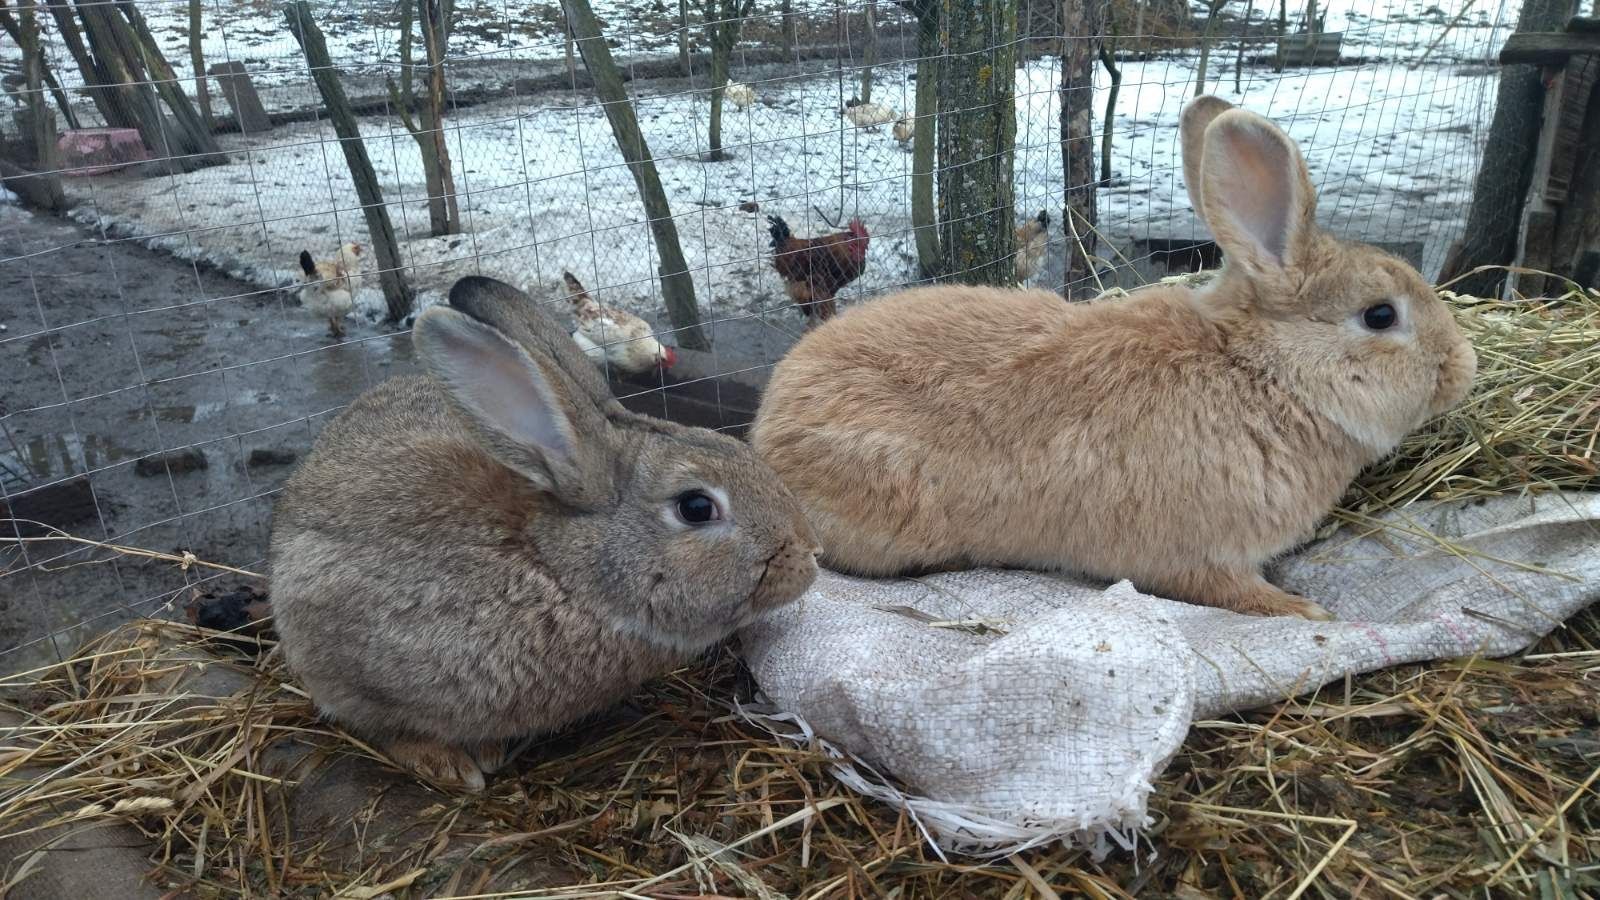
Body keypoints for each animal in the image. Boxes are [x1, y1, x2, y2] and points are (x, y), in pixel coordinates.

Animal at [270, 273, 819, 784]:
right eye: (697, 507)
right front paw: (452, 766)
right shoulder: (355, 673)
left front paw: (489, 751)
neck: (559, 570)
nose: (809, 553)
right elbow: (385, 727)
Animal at [748, 94, 1472, 621]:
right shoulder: (1203, 556)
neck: (1262, 370)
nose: (1461, 369)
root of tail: (768, 429)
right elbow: (1232, 591)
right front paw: (1303, 611)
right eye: (1380, 315)